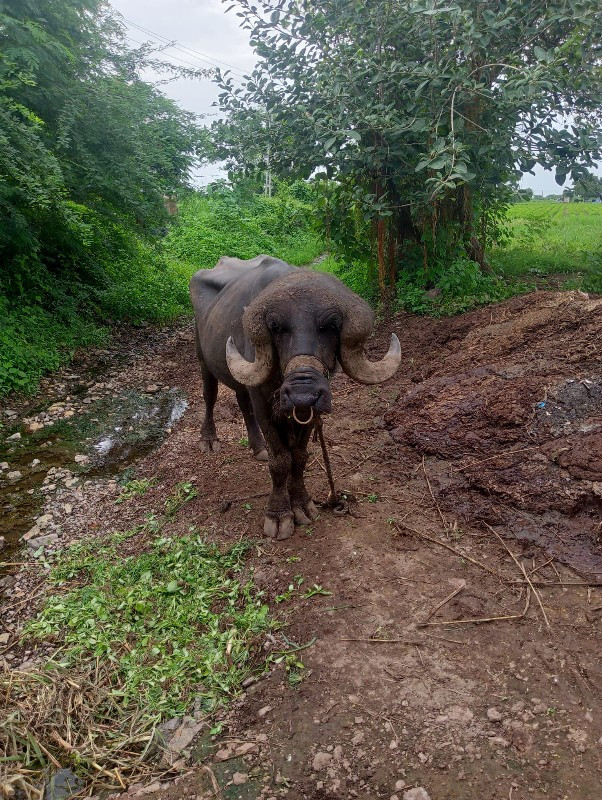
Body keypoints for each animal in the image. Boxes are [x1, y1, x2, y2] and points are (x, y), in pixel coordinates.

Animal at [190, 256, 400, 540]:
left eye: (332, 326)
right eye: (276, 326)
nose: (303, 394)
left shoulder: (311, 411)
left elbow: (298, 456)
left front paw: (300, 503)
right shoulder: (264, 401)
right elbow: (280, 459)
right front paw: (279, 514)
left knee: (243, 405)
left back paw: (258, 446)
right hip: (203, 359)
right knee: (209, 396)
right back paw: (209, 439)